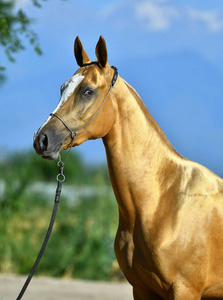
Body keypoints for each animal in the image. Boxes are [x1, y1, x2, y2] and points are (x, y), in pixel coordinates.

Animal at [32, 36, 223, 298]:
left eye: (88, 91)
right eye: (62, 88)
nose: (42, 139)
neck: (164, 202)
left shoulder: (185, 290)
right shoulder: (141, 290)